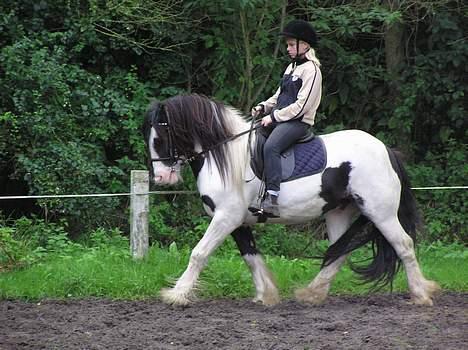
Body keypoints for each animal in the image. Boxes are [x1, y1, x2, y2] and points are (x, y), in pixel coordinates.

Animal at [141, 93, 440, 306]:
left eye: (159, 139)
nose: (162, 178)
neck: (224, 155)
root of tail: (386, 150)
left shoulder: (226, 218)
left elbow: (199, 253)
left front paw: (176, 295)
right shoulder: (237, 221)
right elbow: (251, 256)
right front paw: (266, 295)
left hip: (381, 212)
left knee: (403, 245)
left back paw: (421, 294)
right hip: (339, 212)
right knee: (339, 252)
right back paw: (312, 293)